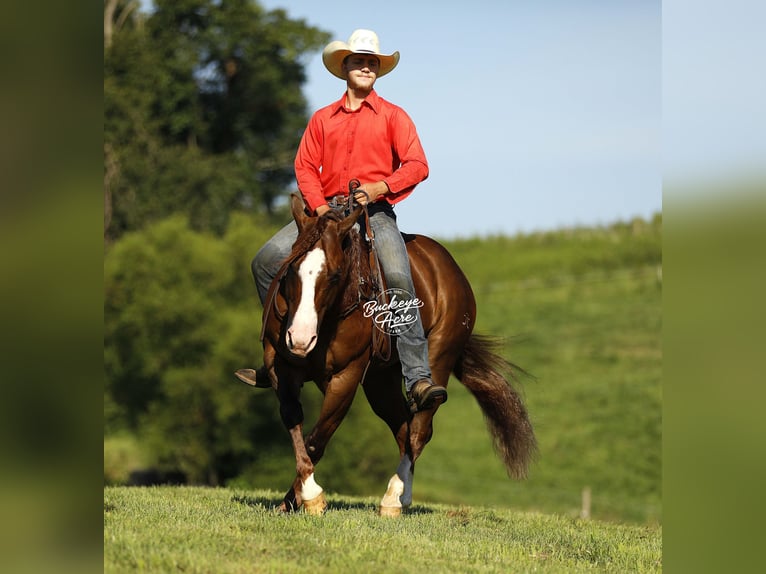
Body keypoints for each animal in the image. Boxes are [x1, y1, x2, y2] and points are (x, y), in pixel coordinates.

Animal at [244, 193, 537, 516]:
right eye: (291, 270)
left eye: (334, 275)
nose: (299, 338)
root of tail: (450, 268)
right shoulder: (282, 368)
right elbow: (295, 422)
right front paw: (296, 498)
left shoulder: (346, 377)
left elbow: (317, 439)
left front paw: (310, 497)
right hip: (380, 381)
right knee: (403, 427)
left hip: (439, 359)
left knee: (420, 429)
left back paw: (395, 498)